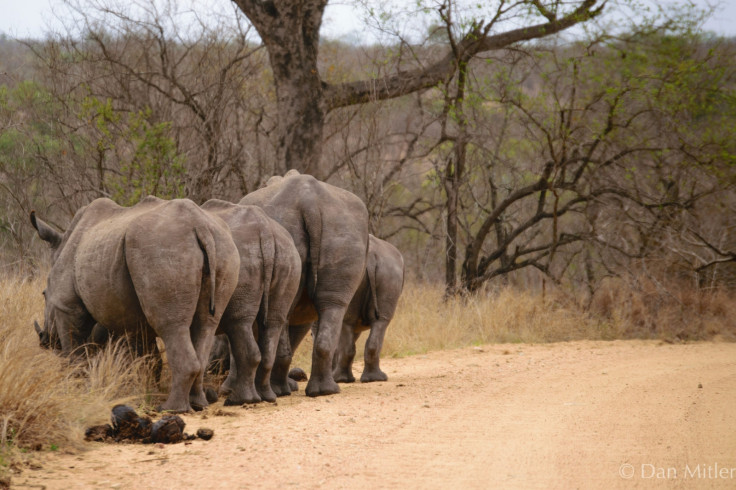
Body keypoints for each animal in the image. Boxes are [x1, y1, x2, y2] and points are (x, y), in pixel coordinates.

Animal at [31, 197, 239, 412]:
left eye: (44, 294)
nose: (45, 340)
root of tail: (200, 225)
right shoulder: (132, 315)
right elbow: (146, 354)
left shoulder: (66, 306)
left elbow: (74, 352)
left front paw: (75, 389)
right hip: (223, 248)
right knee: (206, 326)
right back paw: (197, 404)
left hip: (161, 248)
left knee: (170, 326)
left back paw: (170, 408)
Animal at [200, 200, 300, 406]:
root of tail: (266, 232)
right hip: (288, 258)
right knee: (273, 323)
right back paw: (267, 396)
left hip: (245, 258)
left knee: (241, 324)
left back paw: (237, 400)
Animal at [240, 170, 370, 396]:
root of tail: (309, 203)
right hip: (343, 231)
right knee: (333, 305)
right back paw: (324, 391)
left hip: (291, 229)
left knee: (284, 313)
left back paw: (284, 390)